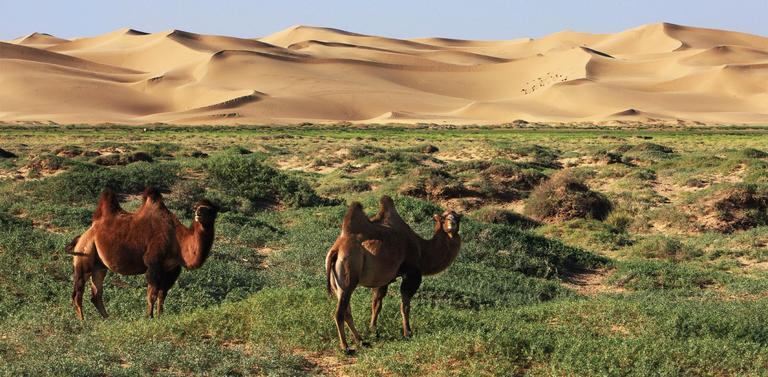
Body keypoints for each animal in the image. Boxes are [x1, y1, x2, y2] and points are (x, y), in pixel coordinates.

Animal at [67, 187, 218, 318]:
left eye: (209, 209)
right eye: (196, 207)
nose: (199, 214)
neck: (178, 239)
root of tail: (81, 237)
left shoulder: (172, 269)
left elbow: (162, 294)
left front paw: (160, 316)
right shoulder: (153, 263)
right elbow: (152, 294)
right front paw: (149, 317)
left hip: (99, 266)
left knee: (96, 294)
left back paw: (108, 319)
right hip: (84, 254)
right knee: (78, 293)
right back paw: (83, 322)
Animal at [324, 197, 462, 352]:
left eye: (458, 217)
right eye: (443, 218)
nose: (452, 224)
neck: (422, 251)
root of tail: (336, 250)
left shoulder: (382, 279)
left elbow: (377, 304)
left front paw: (373, 330)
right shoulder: (412, 274)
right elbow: (405, 305)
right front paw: (407, 332)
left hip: (338, 284)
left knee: (347, 311)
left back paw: (362, 341)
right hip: (348, 276)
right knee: (339, 313)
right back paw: (346, 347)